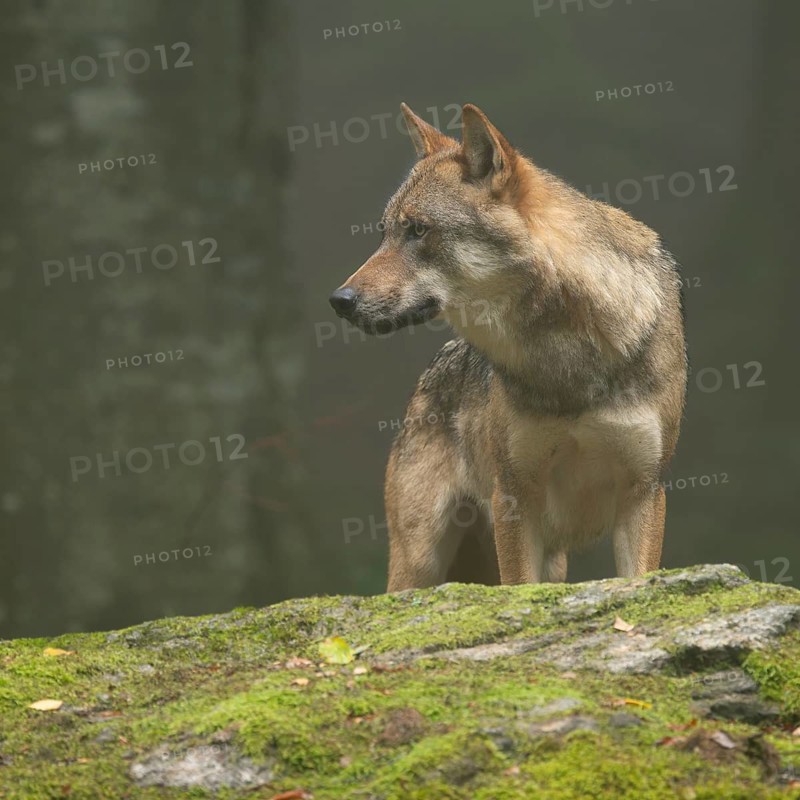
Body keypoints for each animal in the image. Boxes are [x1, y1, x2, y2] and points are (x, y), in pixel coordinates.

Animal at [330, 103, 687, 590]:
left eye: (418, 230)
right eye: (384, 233)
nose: (339, 301)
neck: (566, 355)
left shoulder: (643, 493)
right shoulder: (514, 497)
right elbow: (520, 586)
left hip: (550, 560)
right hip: (418, 561)